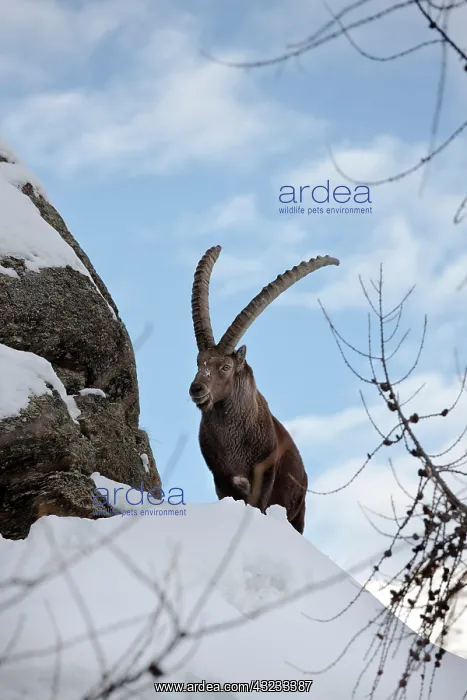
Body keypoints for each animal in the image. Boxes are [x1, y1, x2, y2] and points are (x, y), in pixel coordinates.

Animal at [189, 246, 340, 534]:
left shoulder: (264, 476)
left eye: (225, 366)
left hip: (298, 512)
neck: (235, 442)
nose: (196, 389)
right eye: (199, 362)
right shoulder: (221, 479)